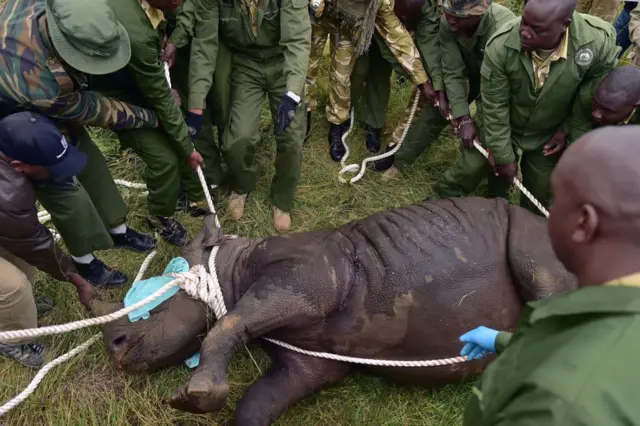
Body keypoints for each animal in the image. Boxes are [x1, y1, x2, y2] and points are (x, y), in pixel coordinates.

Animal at [92, 197, 576, 426]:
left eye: (154, 300)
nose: (115, 350)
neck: (230, 267)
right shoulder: (310, 361)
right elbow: (257, 401)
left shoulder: (312, 277)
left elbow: (228, 322)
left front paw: (192, 396)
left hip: (532, 231)